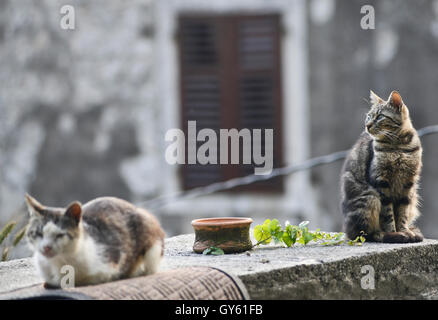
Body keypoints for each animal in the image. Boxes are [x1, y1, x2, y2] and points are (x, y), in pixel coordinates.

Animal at [340, 90, 422, 242]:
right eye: (368, 116)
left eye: (380, 117)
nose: (367, 126)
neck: (398, 146)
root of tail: (346, 231)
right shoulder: (381, 182)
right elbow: (388, 215)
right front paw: (395, 232)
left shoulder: (408, 183)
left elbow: (402, 213)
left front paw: (405, 230)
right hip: (370, 198)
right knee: (366, 234)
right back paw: (387, 235)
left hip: (413, 197)